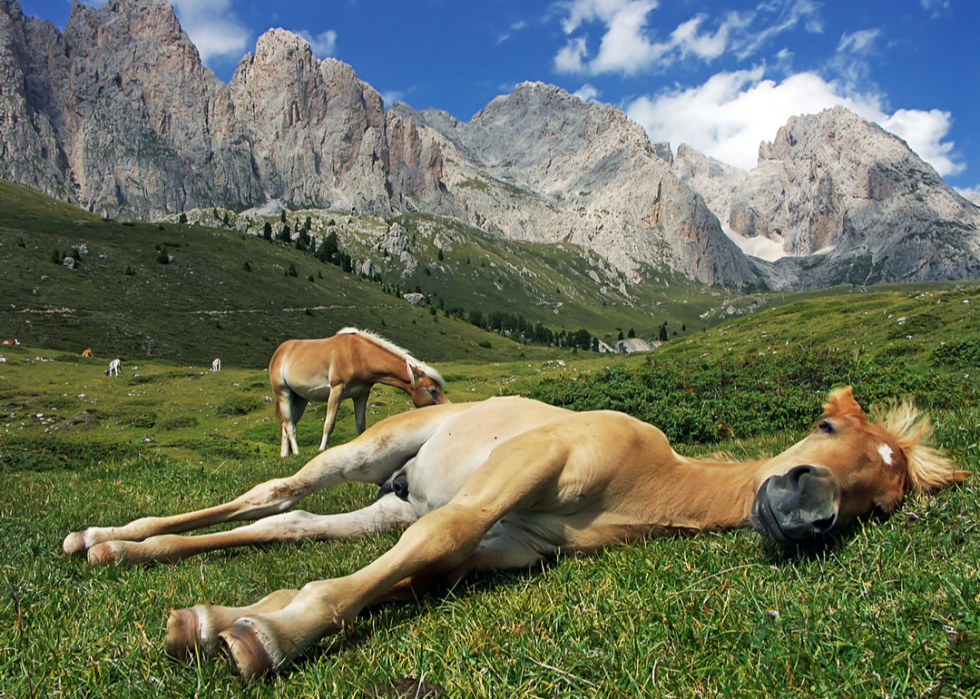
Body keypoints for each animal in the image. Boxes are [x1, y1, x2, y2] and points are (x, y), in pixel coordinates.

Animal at [63, 386, 972, 680]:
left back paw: (123, 550)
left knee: (290, 524)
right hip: (371, 448)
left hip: (389, 502)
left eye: (880, 500)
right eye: (825, 427)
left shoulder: (502, 548)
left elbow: (405, 572)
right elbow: (421, 551)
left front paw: (219, 622)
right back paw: (103, 534)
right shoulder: (523, 470)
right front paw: (267, 637)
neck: (644, 481)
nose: (808, 514)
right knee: (272, 489)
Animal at [270, 330, 450, 460]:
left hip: (300, 399)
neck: (359, 355)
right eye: (432, 390)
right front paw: (321, 449)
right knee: (289, 424)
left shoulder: (361, 395)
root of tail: (279, 351)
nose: (449, 407)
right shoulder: (336, 392)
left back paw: (285, 455)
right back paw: (296, 452)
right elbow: (329, 423)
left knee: (287, 424)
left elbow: (361, 425)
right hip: (283, 393)